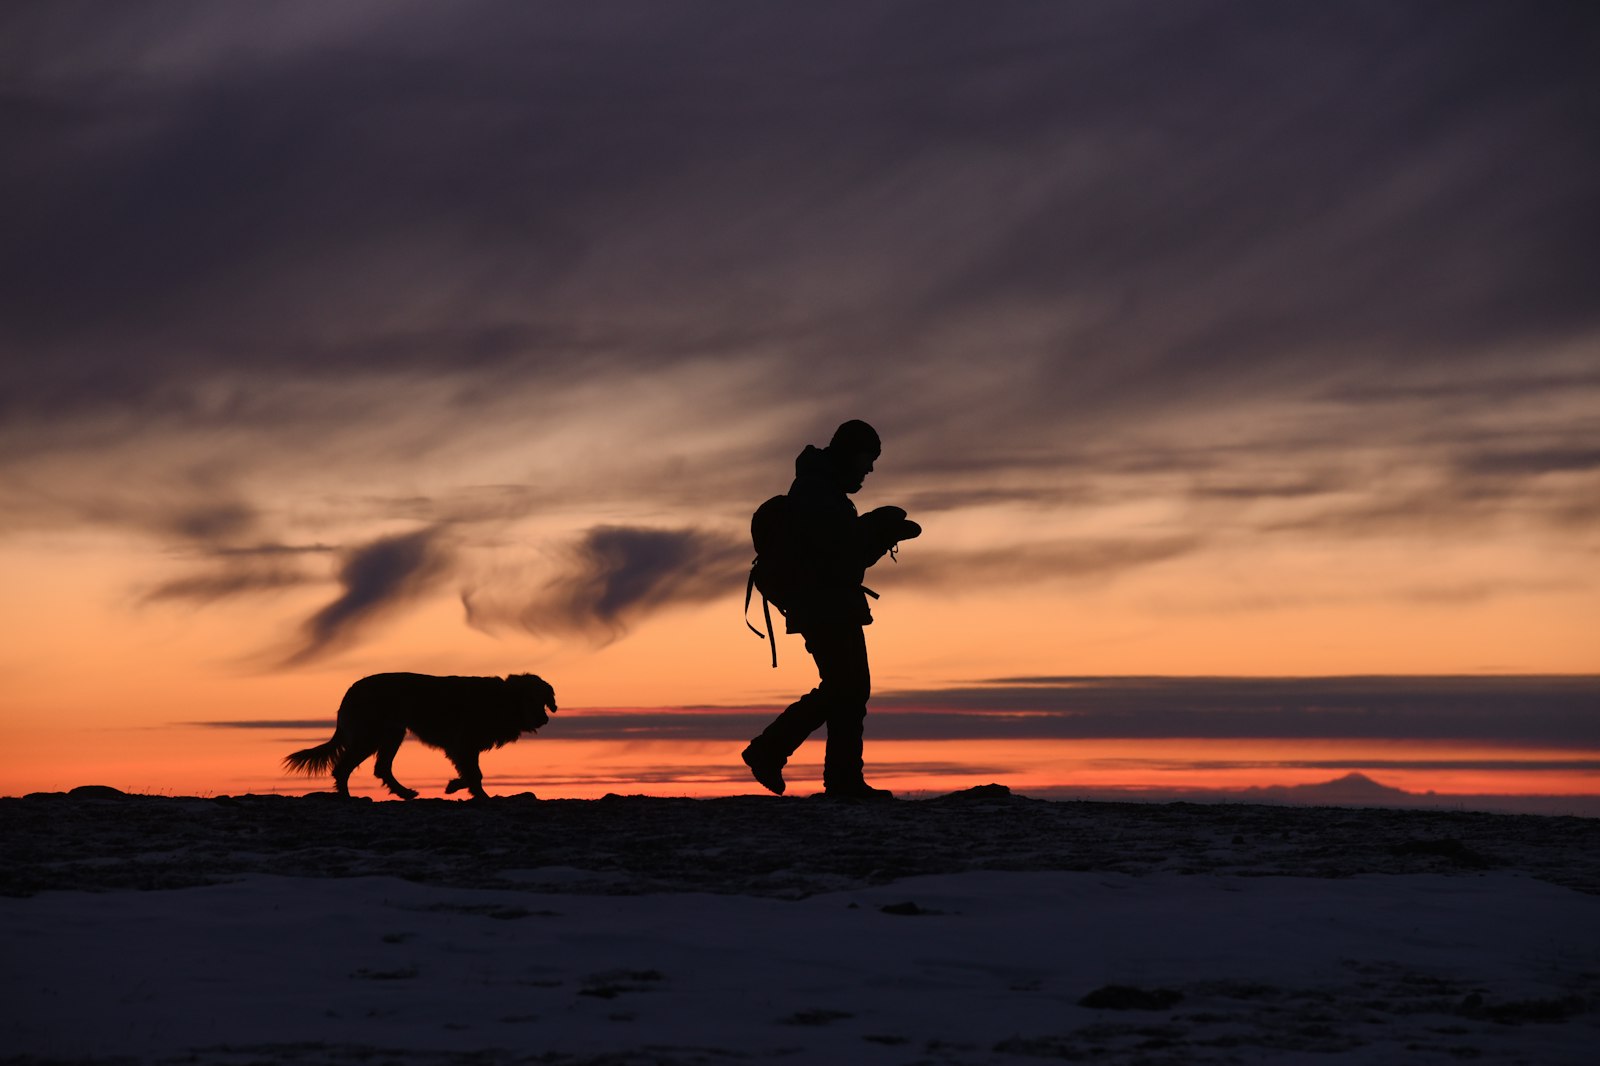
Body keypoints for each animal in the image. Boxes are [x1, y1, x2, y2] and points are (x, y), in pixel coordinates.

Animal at [284, 672, 560, 797]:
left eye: (544, 700)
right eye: (531, 699)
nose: (544, 719)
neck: (502, 701)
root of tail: (351, 690)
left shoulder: (464, 747)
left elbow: (471, 773)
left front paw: (455, 785)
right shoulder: (463, 744)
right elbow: (475, 774)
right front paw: (478, 794)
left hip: (392, 734)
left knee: (381, 768)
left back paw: (404, 793)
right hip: (370, 735)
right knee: (342, 768)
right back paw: (346, 796)